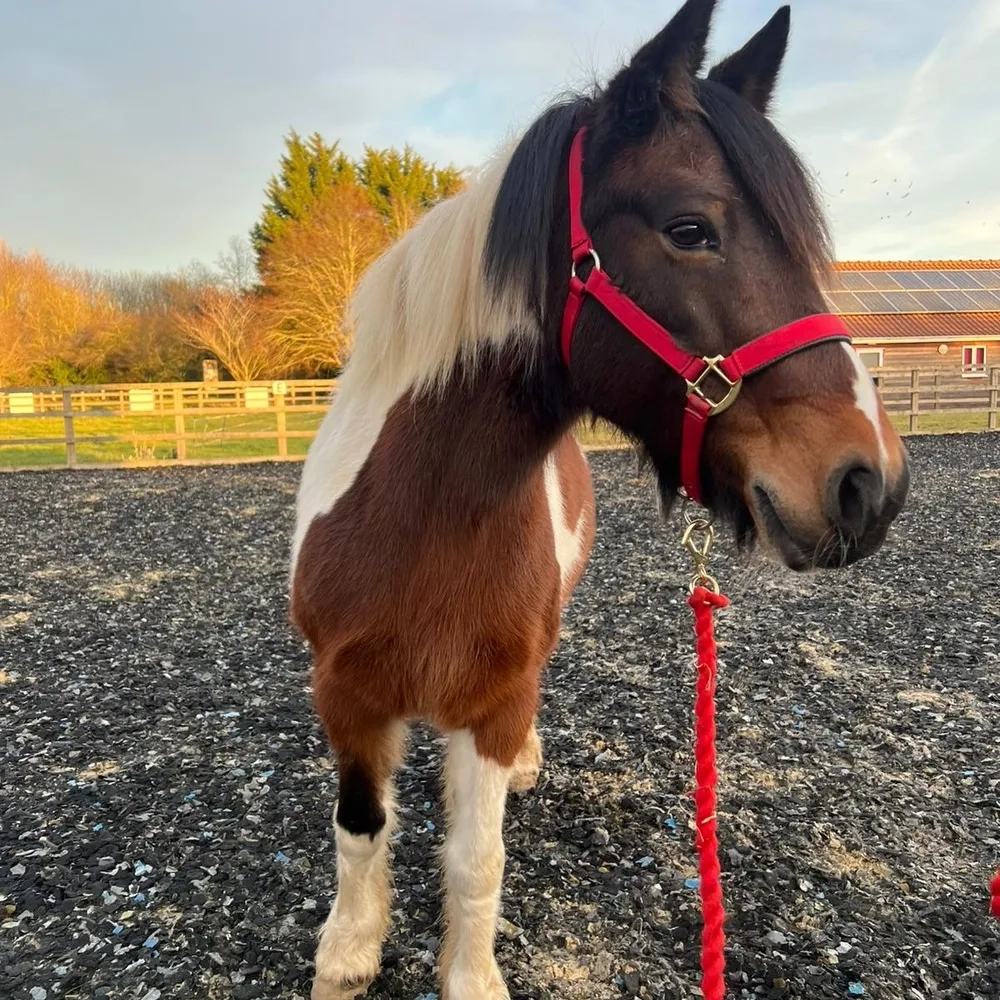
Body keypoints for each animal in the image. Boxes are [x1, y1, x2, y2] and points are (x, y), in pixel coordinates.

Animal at [288, 2, 910, 997]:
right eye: (690, 228)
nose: (870, 484)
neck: (416, 521)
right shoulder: (344, 692)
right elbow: (360, 826)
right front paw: (348, 952)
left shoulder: (494, 697)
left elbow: (478, 857)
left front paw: (468, 974)